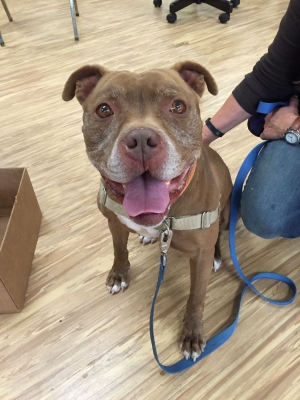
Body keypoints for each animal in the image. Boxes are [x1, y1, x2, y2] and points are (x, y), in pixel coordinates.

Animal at [62, 60, 232, 362]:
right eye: (104, 110)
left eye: (177, 106)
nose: (141, 138)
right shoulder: (114, 222)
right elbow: (119, 250)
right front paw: (119, 275)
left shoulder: (199, 255)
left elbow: (196, 297)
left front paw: (192, 334)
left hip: (224, 215)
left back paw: (216, 256)